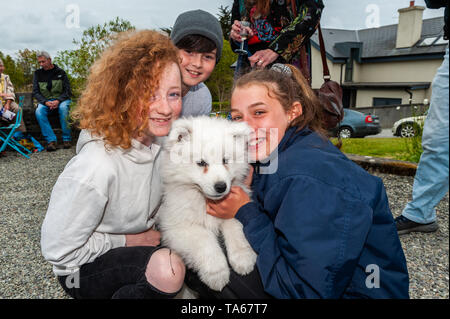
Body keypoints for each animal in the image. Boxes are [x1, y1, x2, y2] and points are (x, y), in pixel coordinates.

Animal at [156, 117, 256, 292]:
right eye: (201, 163)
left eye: (225, 161)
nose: (221, 186)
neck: (204, 199)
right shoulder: (177, 226)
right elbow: (205, 241)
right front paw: (217, 274)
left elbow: (236, 228)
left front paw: (243, 258)